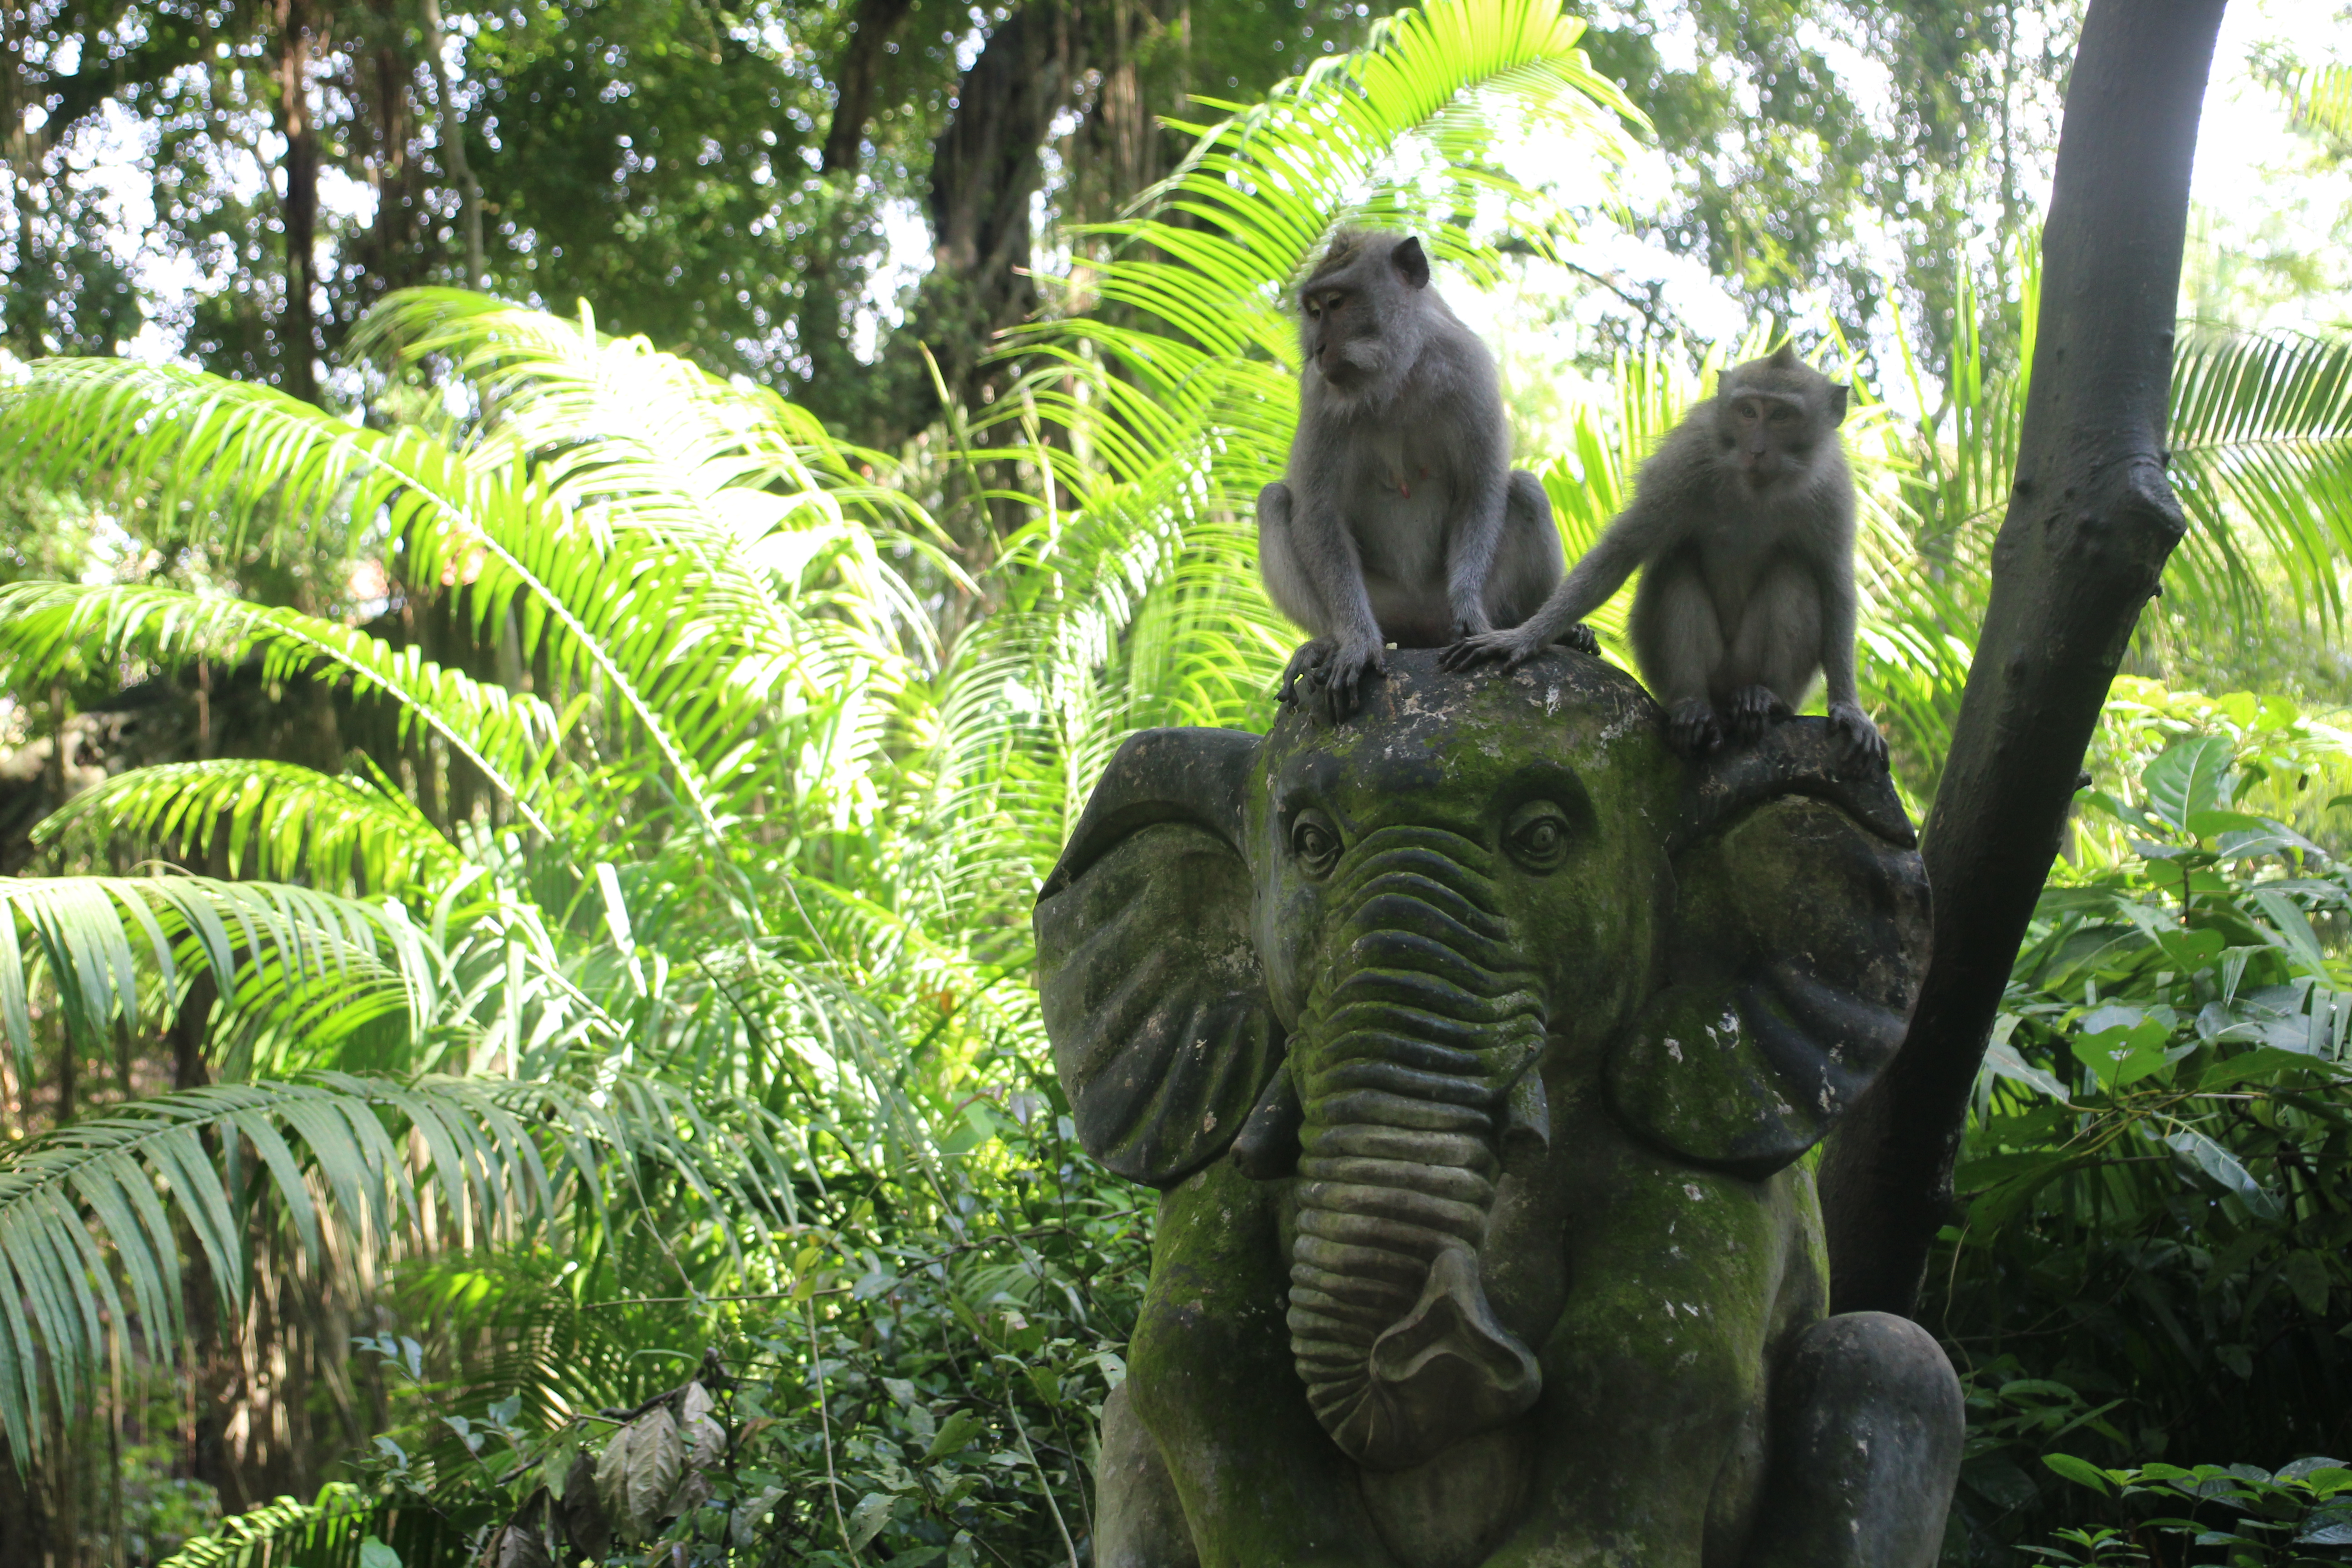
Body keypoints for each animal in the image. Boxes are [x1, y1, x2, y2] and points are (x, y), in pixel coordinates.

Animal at [1257, 229, 1580, 724]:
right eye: (1313, 311)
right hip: (1388, 608)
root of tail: (1421, 634)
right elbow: (1318, 513)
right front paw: (1356, 644)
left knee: (1525, 490)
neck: (1397, 376)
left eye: (1336, 303)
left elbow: (1480, 492)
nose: (1318, 350)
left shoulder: (1470, 371)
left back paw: (1536, 631)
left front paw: (1471, 614)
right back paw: (1327, 643)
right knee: (1274, 500)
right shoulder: (1319, 395)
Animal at [1441, 342, 1887, 769]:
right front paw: (1523, 636)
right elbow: (1622, 551)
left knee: (1794, 572)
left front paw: (1850, 710)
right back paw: (1692, 708)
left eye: (1780, 416)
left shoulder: (1831, 489)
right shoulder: (1688, 460)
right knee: (1678, 561)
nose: (1757, 450)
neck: (1757, 488)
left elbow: (1836, 584)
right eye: (1747, 411)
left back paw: (1765, 699)